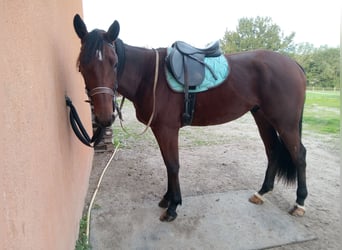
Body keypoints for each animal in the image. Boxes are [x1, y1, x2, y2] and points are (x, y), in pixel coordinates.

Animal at [73, 14, 308, 222]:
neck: (149, 76)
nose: (104, 117)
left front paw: (173, 206)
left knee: (299, 155)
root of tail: (294, 64)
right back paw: (262, 192)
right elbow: (167, 163)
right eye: (82, 65)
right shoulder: (160, 129)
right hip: (263, 118)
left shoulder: (167, 129)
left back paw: (299, 203)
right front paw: (167, 199)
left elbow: (173, 165)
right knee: (273, 151)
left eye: (114, 63)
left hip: (285, 123)